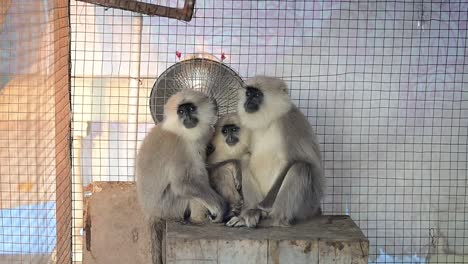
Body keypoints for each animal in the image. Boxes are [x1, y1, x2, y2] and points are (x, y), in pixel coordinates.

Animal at [135, 89, 227, 262]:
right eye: (181, 112)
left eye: (190, 109)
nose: (187, 118)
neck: (178, 130)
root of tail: (150, 213)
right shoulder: (179, 145)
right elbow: (182, 184)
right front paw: (220, 207)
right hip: (168, 207)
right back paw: (196, 221)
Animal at [227, 75, 326, 228]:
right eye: (248, 93)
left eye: (257, 95)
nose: (248, 101)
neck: (269, 120)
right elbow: (245, 155)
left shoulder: (289, 122)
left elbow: (294, 160)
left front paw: (264, 205)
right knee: (245, 158)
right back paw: (251, 212)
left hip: (306, 206)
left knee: (300, 167)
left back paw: (276, 219)